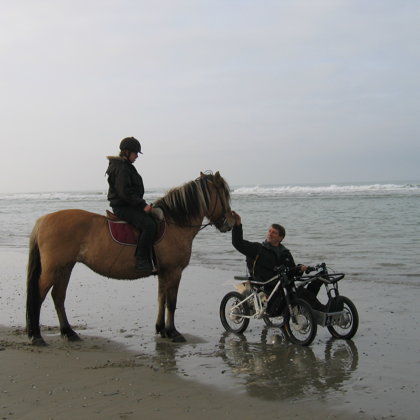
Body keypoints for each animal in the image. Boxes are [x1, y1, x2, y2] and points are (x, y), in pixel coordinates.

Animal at [26, 171, 235, 344]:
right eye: (224, 195)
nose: (229, 223)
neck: (174, 223)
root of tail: (43, 220)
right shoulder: (174, 272)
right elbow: (171, 302)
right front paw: (173, 332)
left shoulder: (163, 273)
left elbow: (161, 299)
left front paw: (161, 329)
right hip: (54, 269)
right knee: (39, 295)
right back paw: (36, 336)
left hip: (65, 267)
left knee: (58, 296)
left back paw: (68, 332)